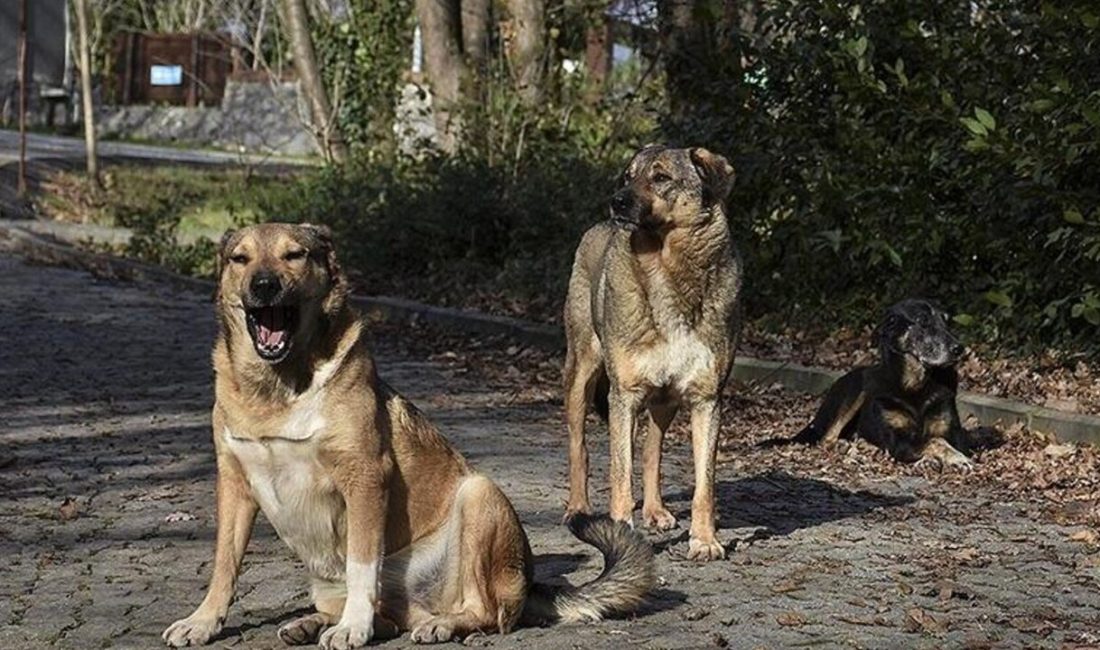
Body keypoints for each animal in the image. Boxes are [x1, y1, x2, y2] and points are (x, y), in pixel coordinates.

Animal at [162, 225, 651, 650]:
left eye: (294, 254)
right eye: (239, 259)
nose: (263, 285)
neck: (278, 388)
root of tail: (529, 584)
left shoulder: (364, 478)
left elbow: (362, 565)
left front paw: (352, 629)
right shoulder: (234, 483)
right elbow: (224, 564)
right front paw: (203, 621)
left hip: (479, 495)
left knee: (485, 613)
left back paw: (437, 625)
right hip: (327, 581)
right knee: (389, 617)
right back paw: (312, 623)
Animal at [563, 145, 743, 563]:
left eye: (660, 177)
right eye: (628, 176)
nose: (616, 201)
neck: (667, 269)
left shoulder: (707, 400)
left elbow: (704, 485)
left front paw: (704, 540)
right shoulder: (624, 396)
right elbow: (620, 474)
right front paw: (621, 535)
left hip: (665, 401)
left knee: (652, 449)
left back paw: (656, 510)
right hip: (582, 375)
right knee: (580, 446)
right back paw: (578, 508)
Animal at [792, 299, 972, 468]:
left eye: (947, 322)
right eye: (923, 321)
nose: (959, 349)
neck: (915, 384)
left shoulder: (954, 434)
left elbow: (939, 440)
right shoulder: (898, 441)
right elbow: (935, 441)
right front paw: (955, 458)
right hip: (857, 391)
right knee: (827, 438)